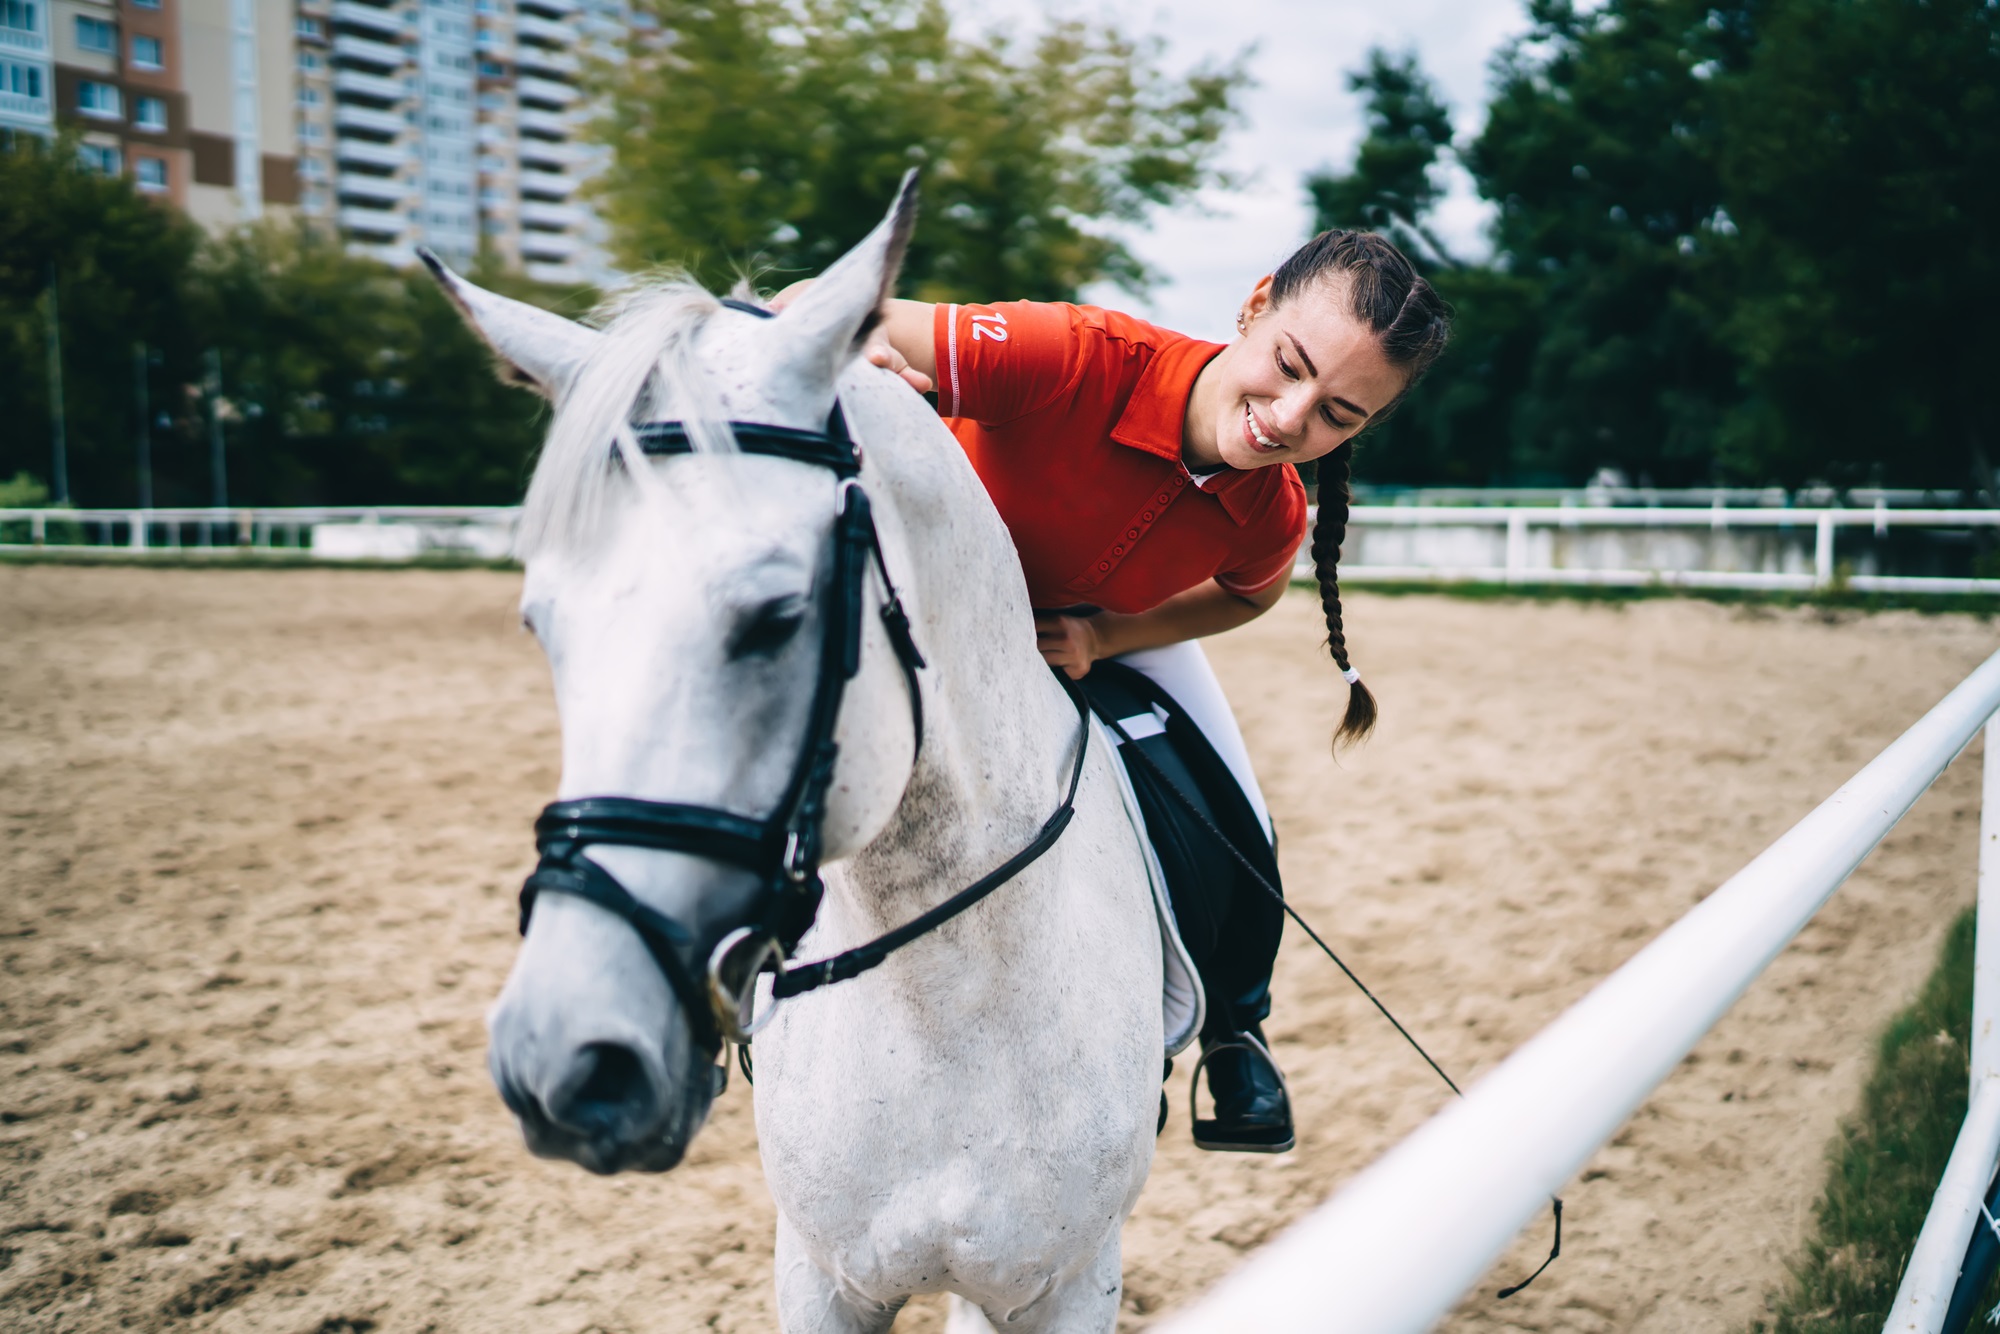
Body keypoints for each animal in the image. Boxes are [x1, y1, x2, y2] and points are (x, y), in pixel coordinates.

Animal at [428, 180, 1192, 1334]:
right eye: (539, 624)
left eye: (777, 616)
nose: (563, 1060)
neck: (948, 999)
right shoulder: (821, 1272)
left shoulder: (1066, 1280)